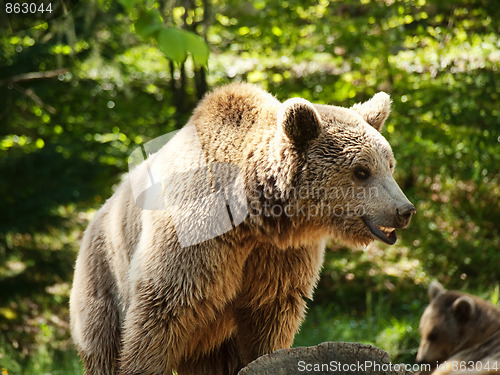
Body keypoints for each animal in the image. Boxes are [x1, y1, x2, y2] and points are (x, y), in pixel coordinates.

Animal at [69, 83, 414, 375]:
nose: (404, 210)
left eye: (389, 165)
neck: (255, 218)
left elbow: (270, 318)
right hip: (103, 279)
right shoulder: (195, 241)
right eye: (361, 171)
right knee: (103, 347)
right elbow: (159, 315)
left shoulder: (279, 257)